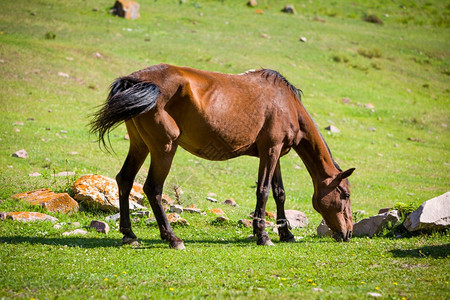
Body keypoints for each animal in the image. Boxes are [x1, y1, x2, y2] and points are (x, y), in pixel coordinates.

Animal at [90, 64, 356, 250]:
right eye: (345, 195)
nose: (349, 233)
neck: (286, 103)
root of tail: (135, 80)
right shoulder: (271, 150)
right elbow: (263, 191)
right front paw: (263, 236)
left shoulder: (275, 153)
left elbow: (279, 193)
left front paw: (286, 234)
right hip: (164, 147)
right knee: (152, 188)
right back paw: (173, 238)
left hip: (139, 145)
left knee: (125, 180)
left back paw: (129, 235)